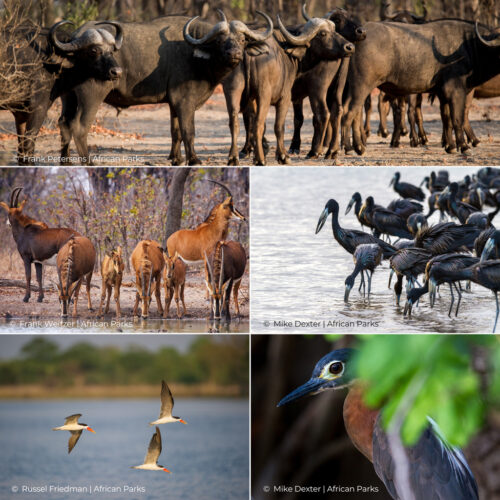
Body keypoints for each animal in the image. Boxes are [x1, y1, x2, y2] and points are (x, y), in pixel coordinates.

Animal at [58, 10, 274, 166]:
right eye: (220, 41)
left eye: (242, 40)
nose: (235, 53)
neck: (195, 53)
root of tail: (74, 38)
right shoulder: (184, 100)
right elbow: (188, 130)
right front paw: (193, 159)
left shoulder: (173, 103)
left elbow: (175, 131)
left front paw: (176, 159)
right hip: (91, 97)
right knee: (79, 127)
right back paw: (88, 163)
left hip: (68, 97)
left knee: (64, 123)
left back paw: (66, 162)